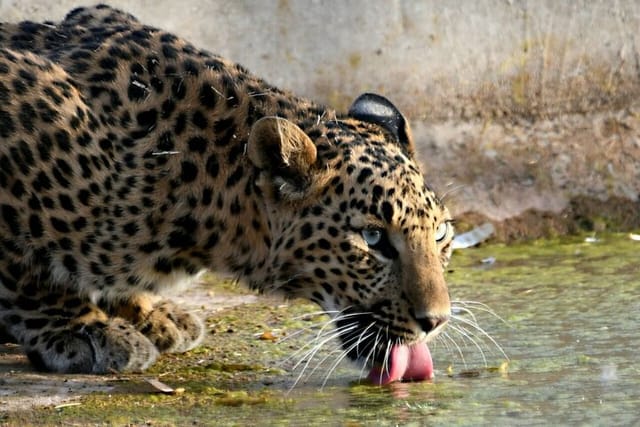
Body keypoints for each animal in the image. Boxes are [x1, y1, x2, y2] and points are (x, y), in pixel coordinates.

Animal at [0, 4, 456, 384]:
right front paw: (81, 327)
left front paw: (147, 311)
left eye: (440, 234)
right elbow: (27, 269)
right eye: (372, 238)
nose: (436, 321)